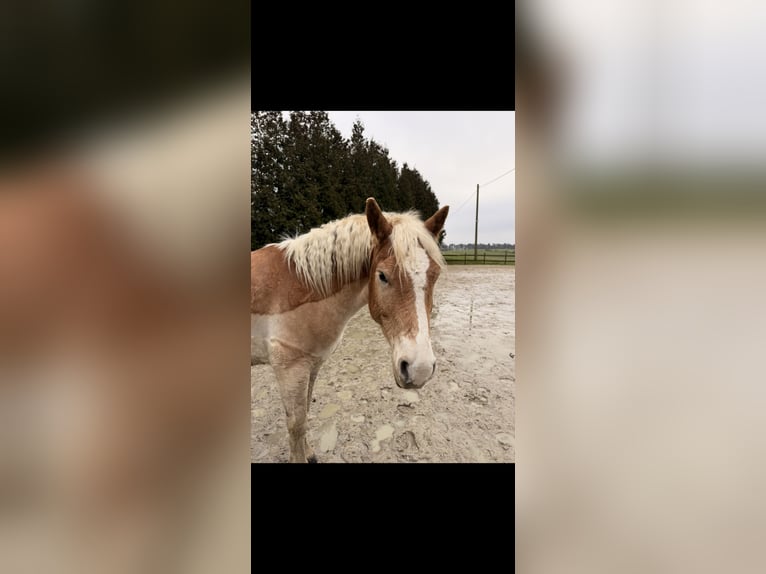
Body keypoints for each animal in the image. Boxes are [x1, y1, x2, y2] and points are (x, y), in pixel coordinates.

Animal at [251, 197, 449, 463]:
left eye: (435, 275)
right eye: (382, 276)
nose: (420, 369)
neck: (304, 286)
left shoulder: (311, 365)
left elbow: (306, 412)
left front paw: (309, 452)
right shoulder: (290, 369)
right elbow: (296, 425)